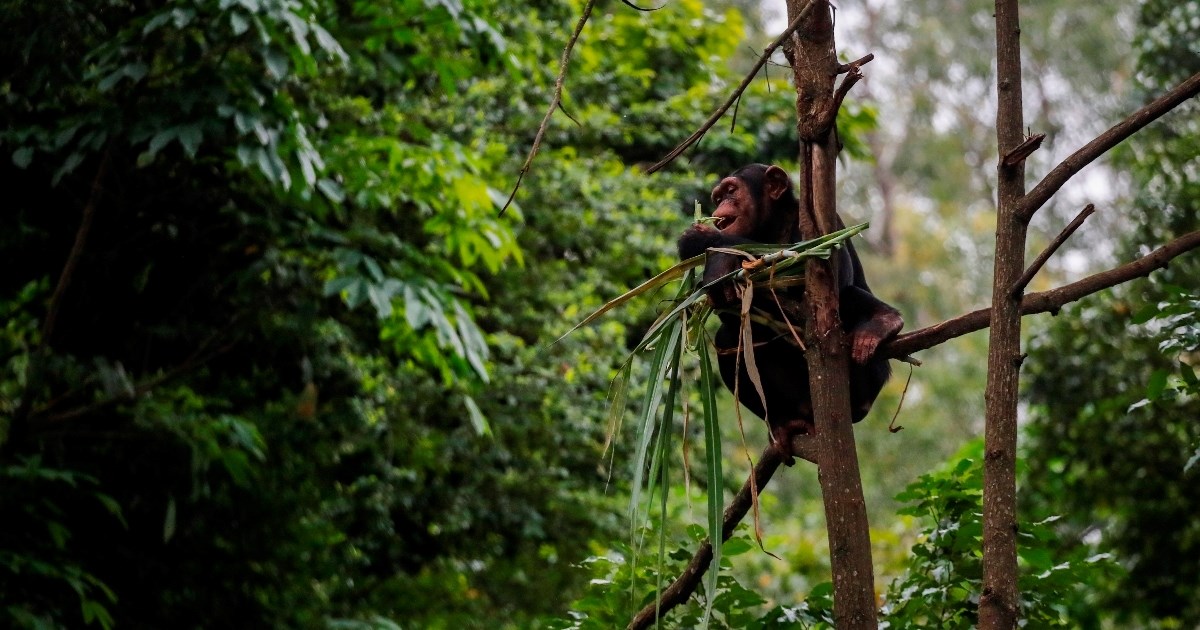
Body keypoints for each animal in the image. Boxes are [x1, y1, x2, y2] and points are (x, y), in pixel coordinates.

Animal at [681, 164, 902, 453]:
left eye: (731, 191)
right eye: (718, 197)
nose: (719, 207)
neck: (772, 226)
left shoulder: (817, 226)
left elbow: (825, 285)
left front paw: (702, 240)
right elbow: (732, 314)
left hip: (864, 387)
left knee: (844, 295)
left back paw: (883, 322)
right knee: (728, 340)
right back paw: (783, 424)